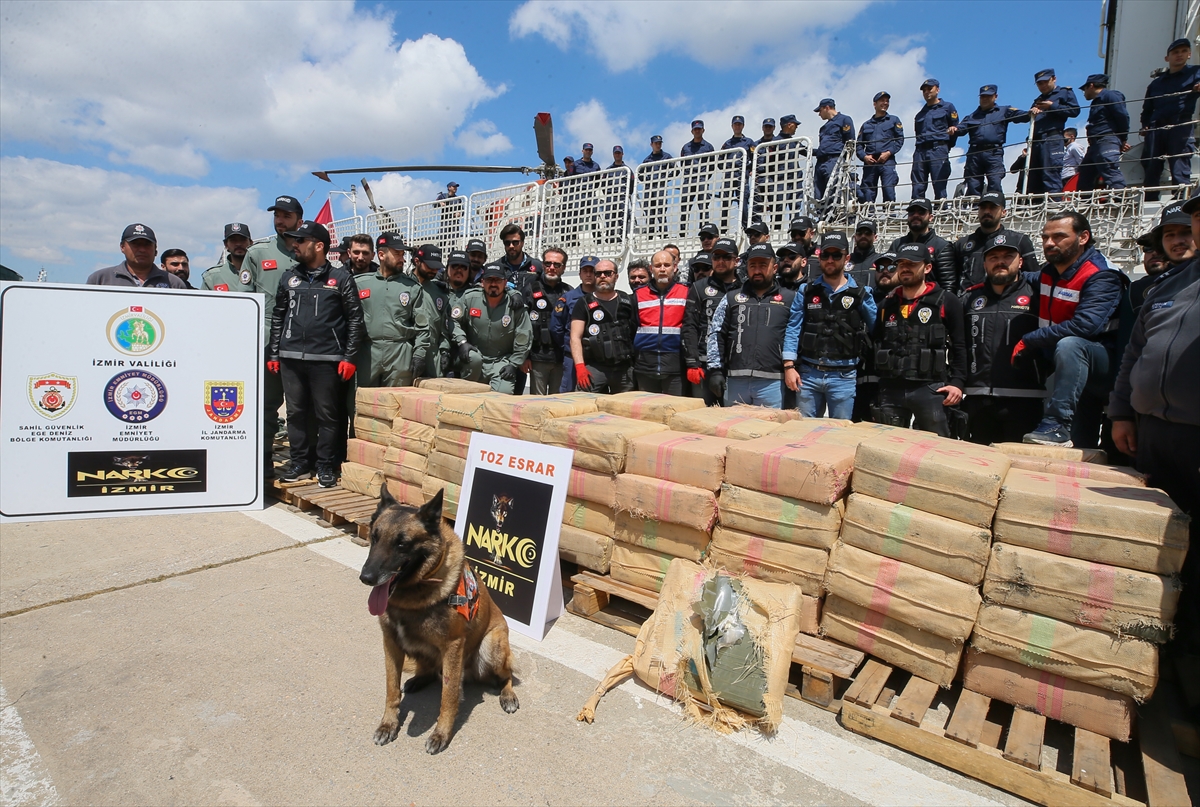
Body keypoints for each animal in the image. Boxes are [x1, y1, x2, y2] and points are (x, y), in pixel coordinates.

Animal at [360, 482, 520, 754]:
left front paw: (441, 734)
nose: (366, 577)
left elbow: (449, 695)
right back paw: (418, 680)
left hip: (492, 646)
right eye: (374, 537)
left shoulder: (453, 647)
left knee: (506, 674)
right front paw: (388, 724)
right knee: (431, 670)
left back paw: (507, 695)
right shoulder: (390, 643)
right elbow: (391, 688)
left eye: (402, 544)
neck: (413, 593)